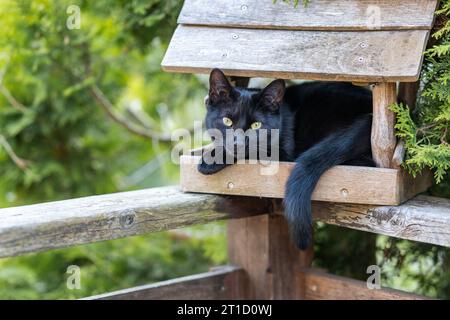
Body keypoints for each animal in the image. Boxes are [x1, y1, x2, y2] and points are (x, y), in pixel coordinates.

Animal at [200, 68, 372, 250]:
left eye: (256, 126)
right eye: (227, 121)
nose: (237, 143)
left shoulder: (282, 154)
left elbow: (252, 152)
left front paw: (209, 160)